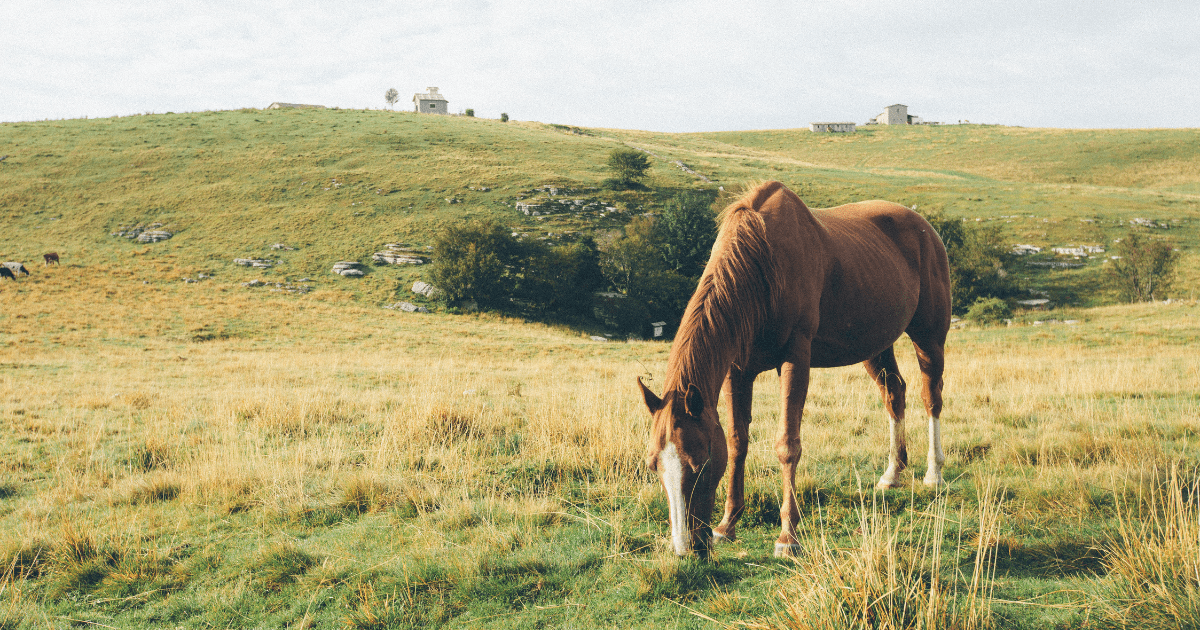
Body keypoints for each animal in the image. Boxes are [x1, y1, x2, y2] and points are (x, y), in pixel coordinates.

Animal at [638, 181, 951, 558]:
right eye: (653, 464)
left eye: (701, 464)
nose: (686, 548)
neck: (762, 263)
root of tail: (926, 228)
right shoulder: (737, 370)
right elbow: (738, 441)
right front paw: (727, 525)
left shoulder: (796, 358)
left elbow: (788, 444)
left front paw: (788, 536)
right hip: (875, 346)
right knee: (895, 394)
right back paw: (892, 474)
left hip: (929, 337)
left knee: (931, 397)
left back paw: (934, 473)